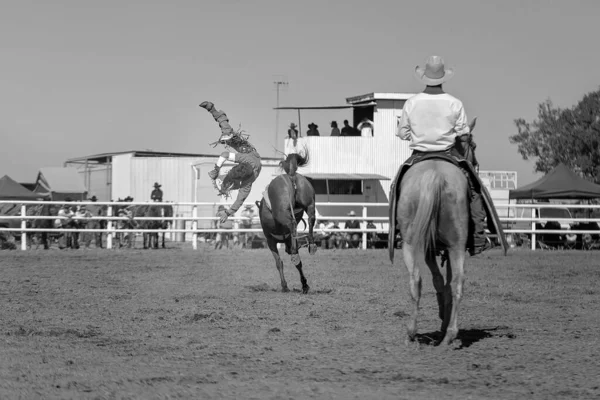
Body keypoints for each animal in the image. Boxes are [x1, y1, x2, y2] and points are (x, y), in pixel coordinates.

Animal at [255, 150, 318, 294]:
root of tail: (290, 176)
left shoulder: (270, 241)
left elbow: (279, 263)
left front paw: (284, 286)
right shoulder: (288, 239)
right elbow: (299, 265)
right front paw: (304, 285)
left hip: (281, 213)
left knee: (292, 223)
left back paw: (296, 251)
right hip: (309, 203)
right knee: (311, 219)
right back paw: (311, 244)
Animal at [396, 161, 472, 346]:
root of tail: (435, 174)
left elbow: (437, 279)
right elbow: (444, 280)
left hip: (409, 244)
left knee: (415, 279)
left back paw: (411, 332)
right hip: (457, 244)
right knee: (458, 281)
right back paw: (449, 334)